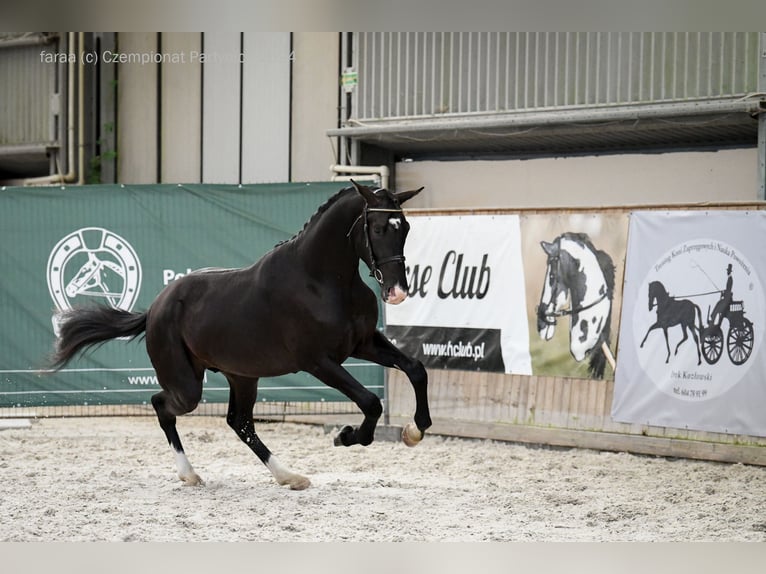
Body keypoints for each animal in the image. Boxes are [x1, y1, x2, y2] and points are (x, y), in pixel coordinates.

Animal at [49, 182, 432, 492]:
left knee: (240, 423)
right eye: (378, 227)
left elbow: (416, 369)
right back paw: (190, 475)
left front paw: (414, 431)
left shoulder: (362, 343)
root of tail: (155, 308)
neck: (322, 280)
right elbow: (370, 401)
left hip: (242, 376)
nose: (397, 292)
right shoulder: (319, 361)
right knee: (163, 405)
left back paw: (288, 477)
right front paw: (346, 436)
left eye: (405, 228)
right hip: (188, 385)